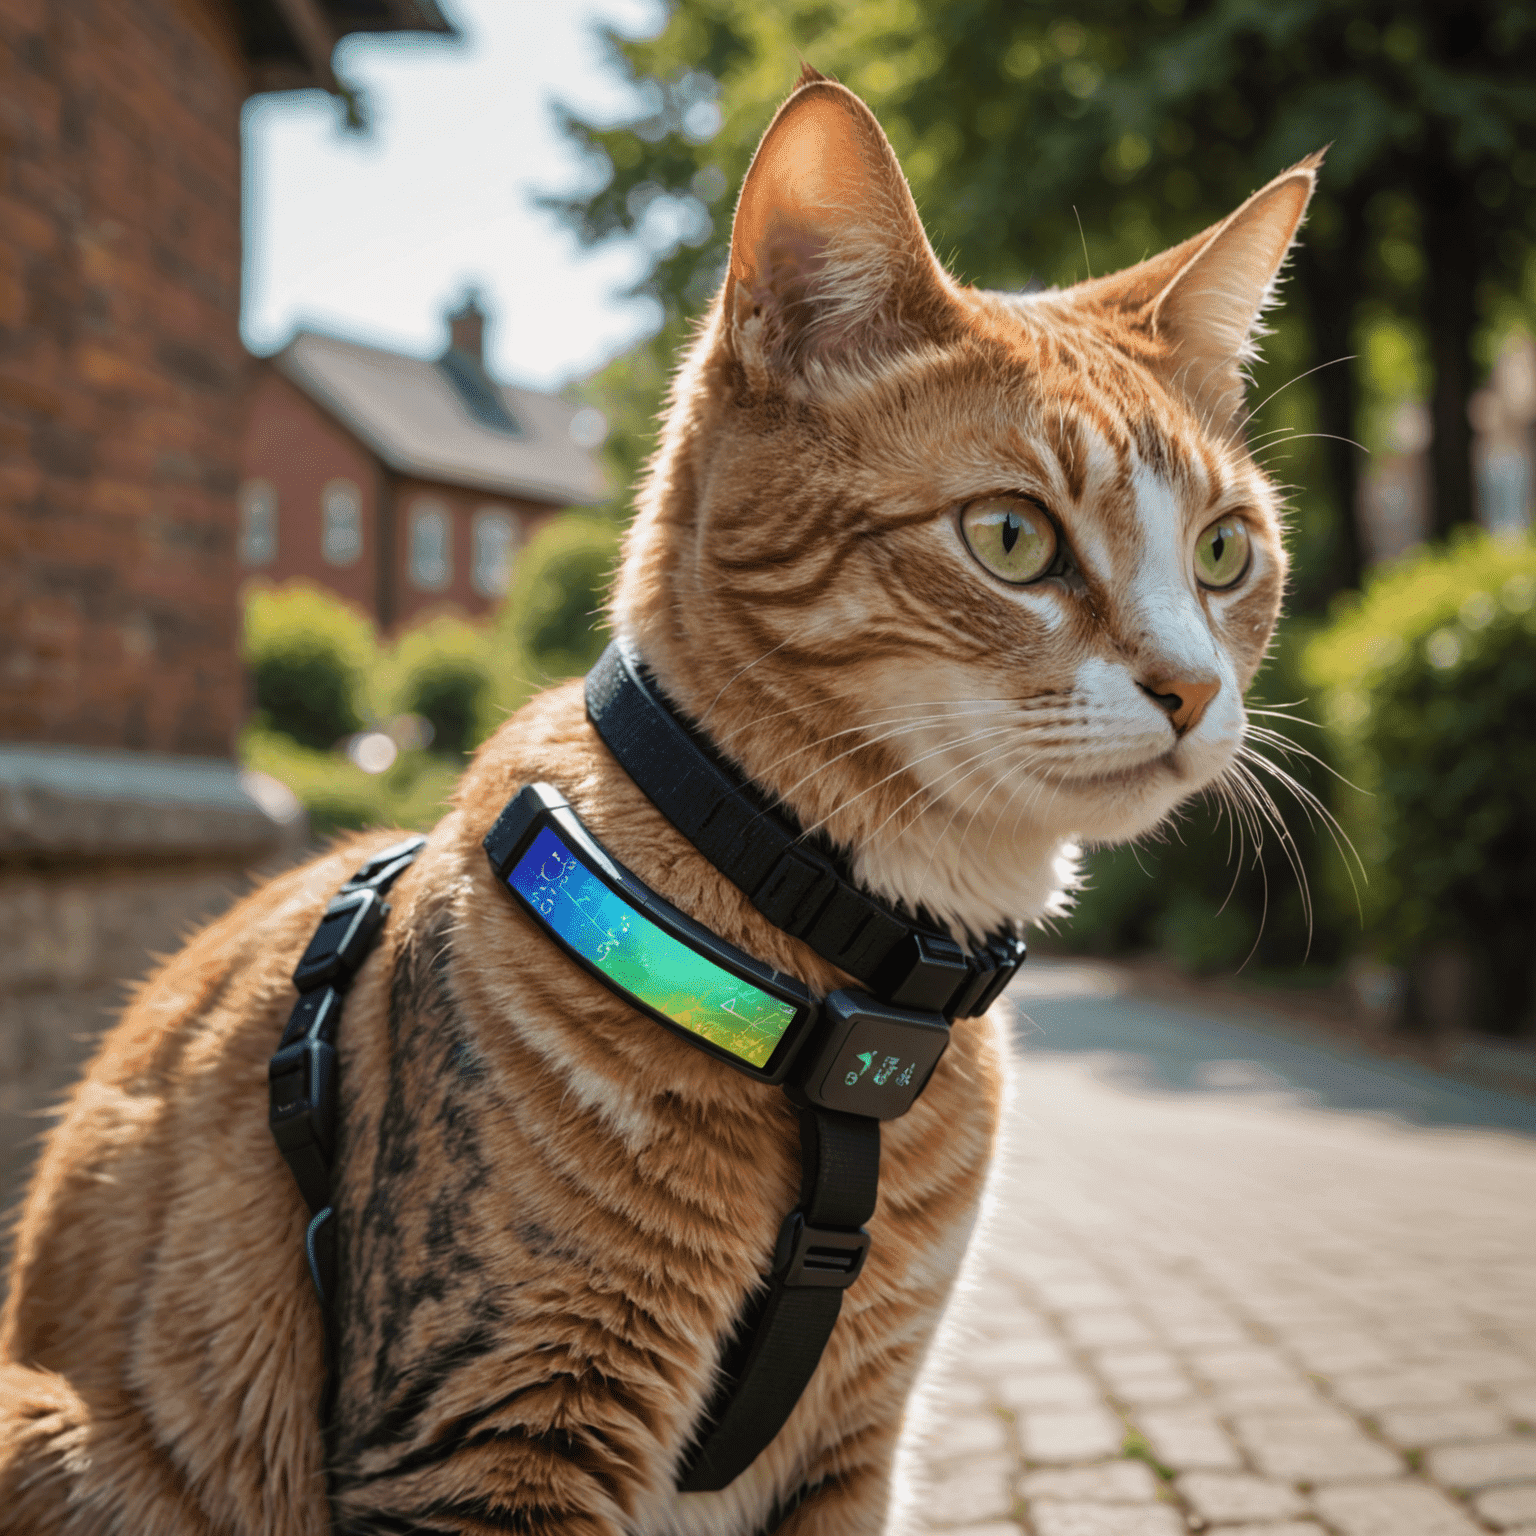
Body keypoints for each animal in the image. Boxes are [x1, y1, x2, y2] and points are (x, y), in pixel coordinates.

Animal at [0, 74, 1320, 1536]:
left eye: (1224, 553)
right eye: (1012, 538)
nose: (1193, 689)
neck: (861, 991)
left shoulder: (852, 1448)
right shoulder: (495, 1428)